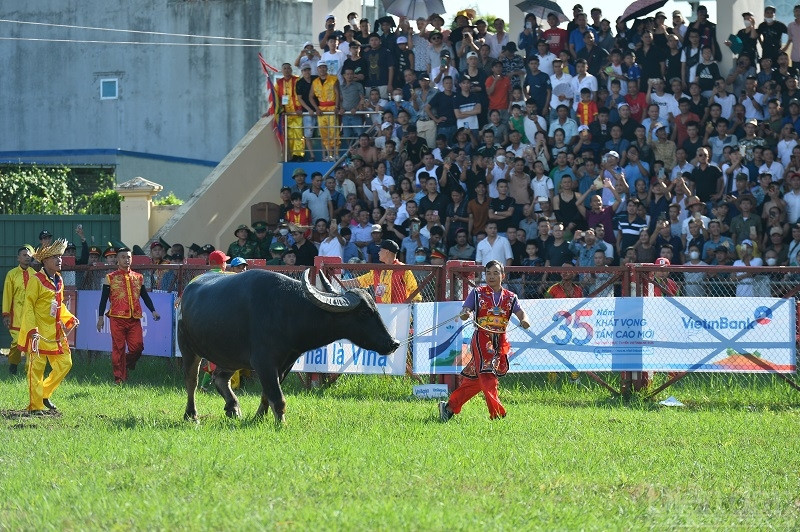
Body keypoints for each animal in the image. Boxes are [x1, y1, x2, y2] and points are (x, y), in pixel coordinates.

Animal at [177, 270, 398, 424]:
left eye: (375, 308)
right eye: (364, 313)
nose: (393, 343)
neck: (289, 310)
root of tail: (186, 291)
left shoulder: (285, 364)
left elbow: (267, 394)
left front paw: (259, 418)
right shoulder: (264, 362)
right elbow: (277, 397)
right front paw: (281, 424)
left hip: (230, 356)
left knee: (220, 377)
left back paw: (233, 408)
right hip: (188, 349)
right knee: (191, 382)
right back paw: (192, 415)